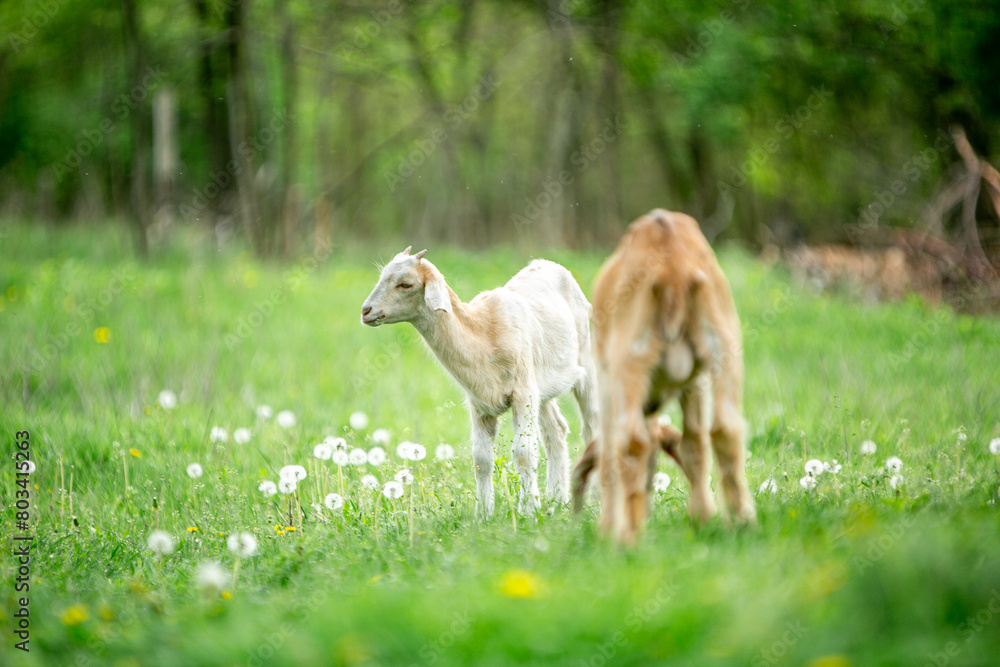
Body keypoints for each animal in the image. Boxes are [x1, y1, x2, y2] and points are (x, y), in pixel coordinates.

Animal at [361, 247, 598, 517]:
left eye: (405, 284)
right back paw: (556, 499)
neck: (484, 334)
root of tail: (548, 263)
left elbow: (524, 453)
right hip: (542, 388)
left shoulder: (522, 393)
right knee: (556, 431)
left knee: (591, 428)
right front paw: (484, 513)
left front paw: (527, 510)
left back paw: (595, 500)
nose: (366, 311)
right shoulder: (480, 403)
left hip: (584, 360)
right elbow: (481, 459)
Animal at [572, 209, 756, 544]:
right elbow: (695, 446)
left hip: (629, 360)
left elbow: (609, 453)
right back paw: (742, 522)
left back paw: (627, 537)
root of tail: (674, 269)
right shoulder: (695, 382)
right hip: (724, 348)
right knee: (725, 429)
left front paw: (607, 528)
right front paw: (702, 518)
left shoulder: (607, 378)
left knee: (630, 441)